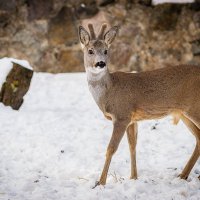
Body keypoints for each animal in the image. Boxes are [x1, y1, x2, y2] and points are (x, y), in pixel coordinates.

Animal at [78, 23, 200, 188]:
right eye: (90, 50)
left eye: (106, 50)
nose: (101, 63)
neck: (109, 91)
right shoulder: (132, 119)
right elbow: (132, 146)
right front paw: (133, 177)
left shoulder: (122, 115)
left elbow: (111, 148)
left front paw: (100, 182)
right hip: (183, 113)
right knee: (198, 138)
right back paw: (182, 175)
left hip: (194, 108)